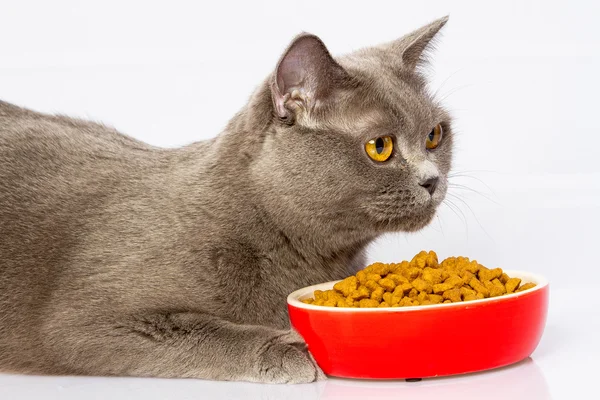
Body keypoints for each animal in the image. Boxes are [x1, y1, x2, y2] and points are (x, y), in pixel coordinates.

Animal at [0, 17, 452, 382]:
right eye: (380, 147)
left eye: (435, 135)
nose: (432, 180)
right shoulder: (81, 324)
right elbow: (199, 330)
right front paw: (288, 349)